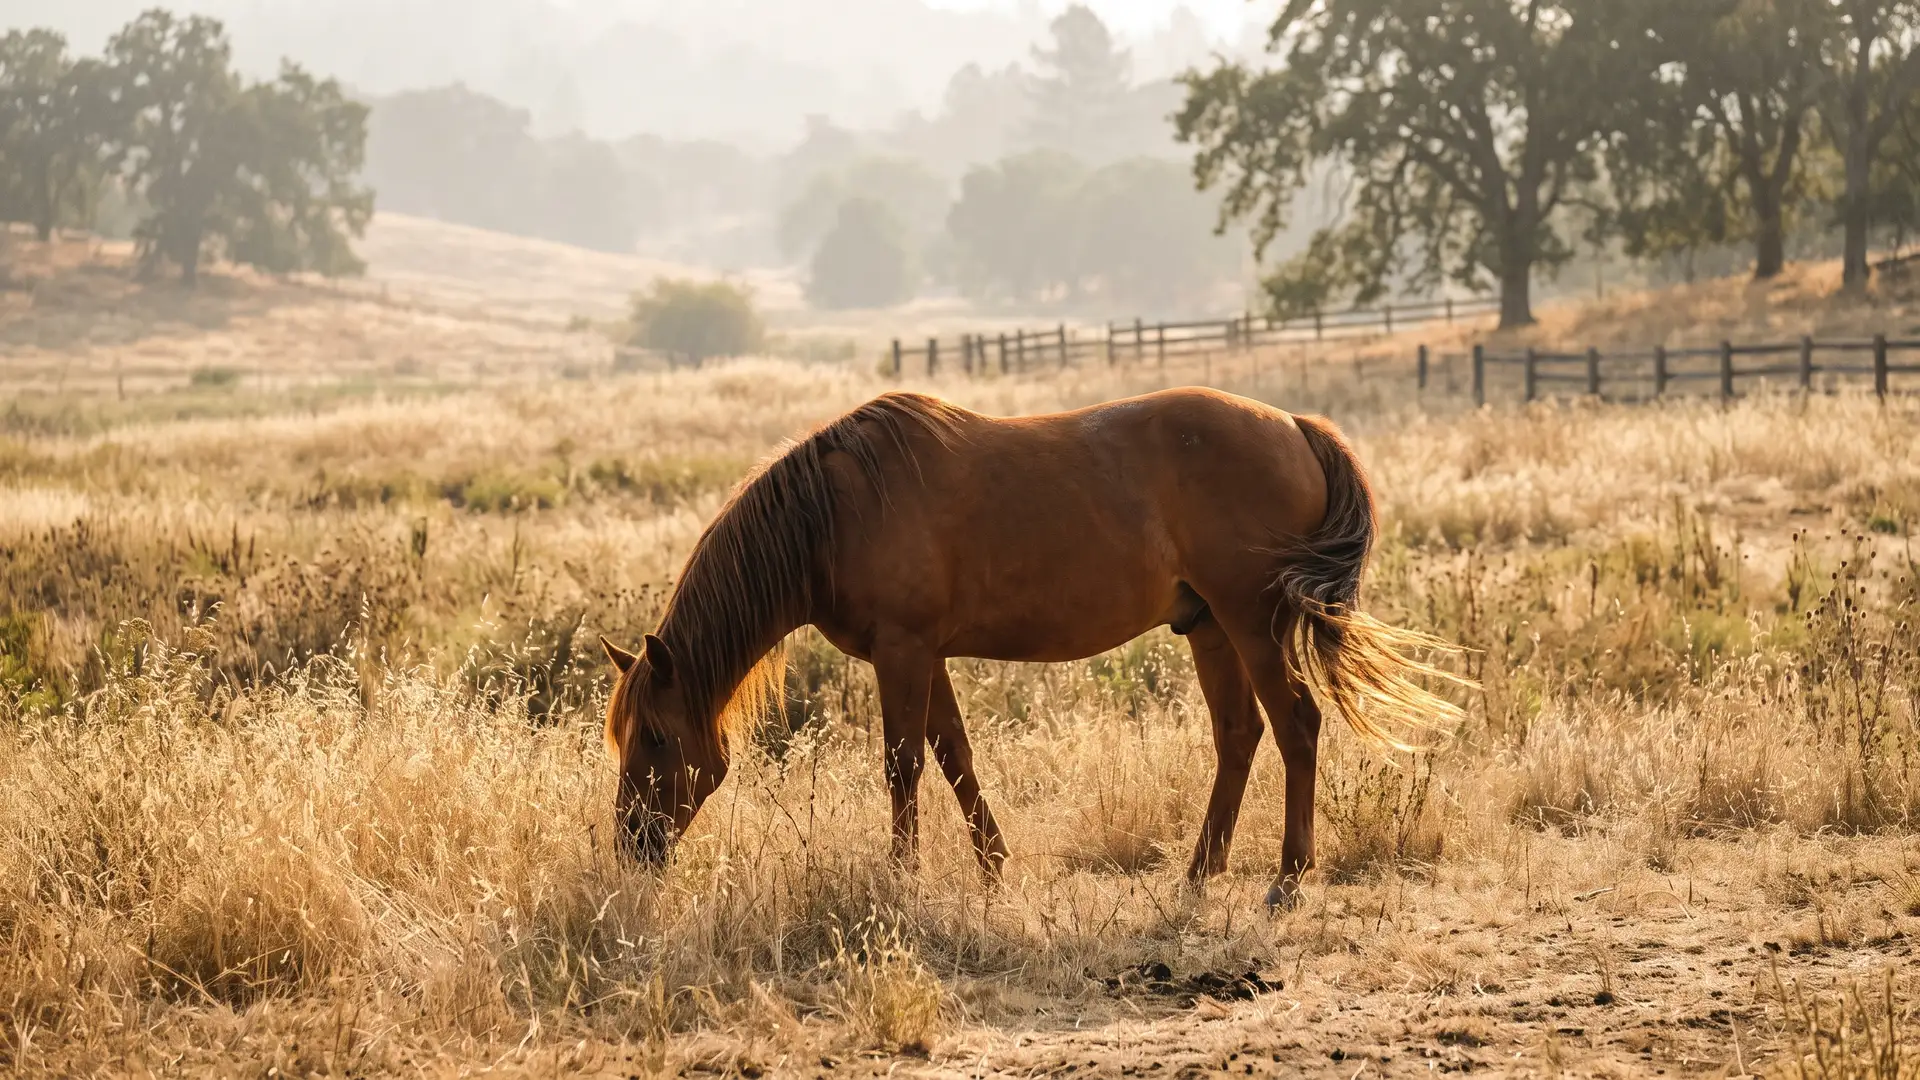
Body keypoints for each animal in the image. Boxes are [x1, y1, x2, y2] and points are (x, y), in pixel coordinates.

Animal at [599, 387, 1459, 909]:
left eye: (656, 737)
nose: (631, 847)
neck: (837, 513)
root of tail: (1296, 428)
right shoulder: (923, 655)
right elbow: (954, 754)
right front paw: (992, 867)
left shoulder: (903, 651)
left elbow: (903, 764)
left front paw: (903, 879)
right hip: (1211, 626)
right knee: (1239, 735)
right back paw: (1197, 873)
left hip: (1252, 621)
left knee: (1296, 726)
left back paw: (1287, 878)